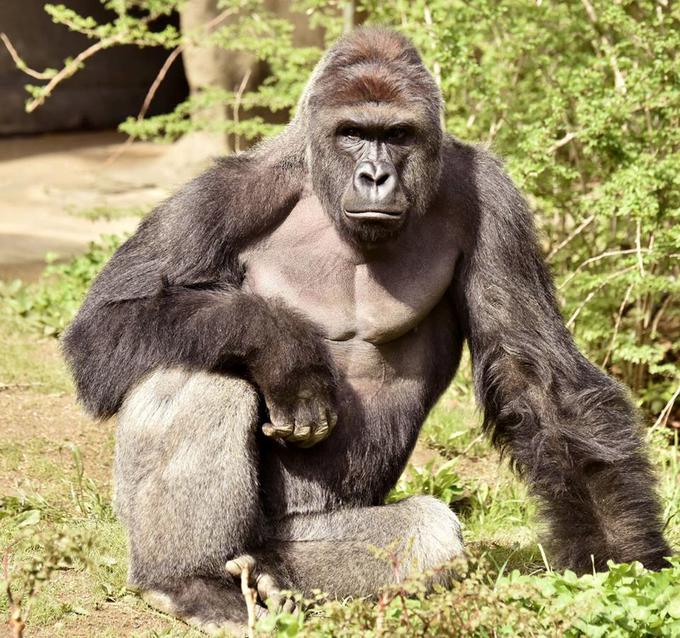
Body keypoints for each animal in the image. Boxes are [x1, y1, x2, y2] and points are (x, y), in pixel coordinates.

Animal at [62, 26, 668, 636]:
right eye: (352, 133)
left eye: (396, 135)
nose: (375, 176)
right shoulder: (224, 193)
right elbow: (105, 323)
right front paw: (282, 347)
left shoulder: (494, 201)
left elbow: (537, 376)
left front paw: (621, 560)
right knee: (198, 369)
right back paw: (188, 580)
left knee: (424, 533)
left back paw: (270, 576)